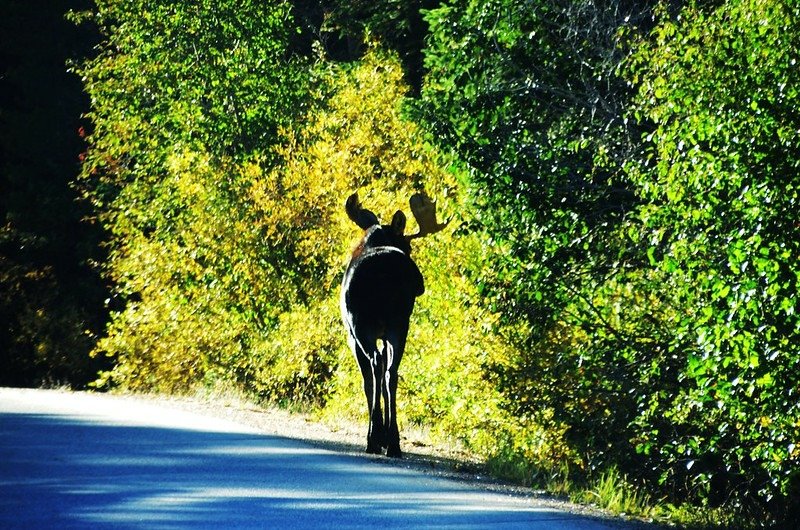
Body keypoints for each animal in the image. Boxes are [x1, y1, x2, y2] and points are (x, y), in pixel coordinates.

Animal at [340, 192, 446, 456]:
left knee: (377, 365)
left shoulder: (351, 335)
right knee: (391, 371)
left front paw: (377, 434)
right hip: (398, 324)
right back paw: (394, 442)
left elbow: (367, 382)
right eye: (408, 246)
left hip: (363, 324)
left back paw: (374, 438)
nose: (421, 284)